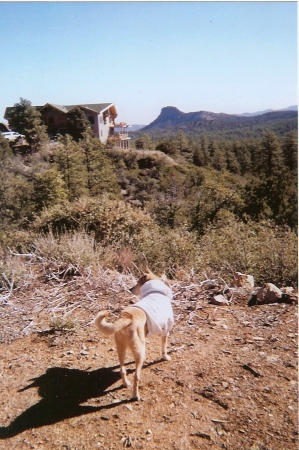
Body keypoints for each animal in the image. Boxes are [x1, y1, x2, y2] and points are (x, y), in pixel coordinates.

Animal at [95, 268, 175, 400]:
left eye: (137, 283)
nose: (130, 289)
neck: (156, 291)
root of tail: (126, 317)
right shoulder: (166, 330)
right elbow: (164, 348)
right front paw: (166, 357)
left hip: (121, 349)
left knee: (122, 369)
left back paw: (125, 383)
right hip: (138, 351)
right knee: (136, 377)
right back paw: (135, 395)